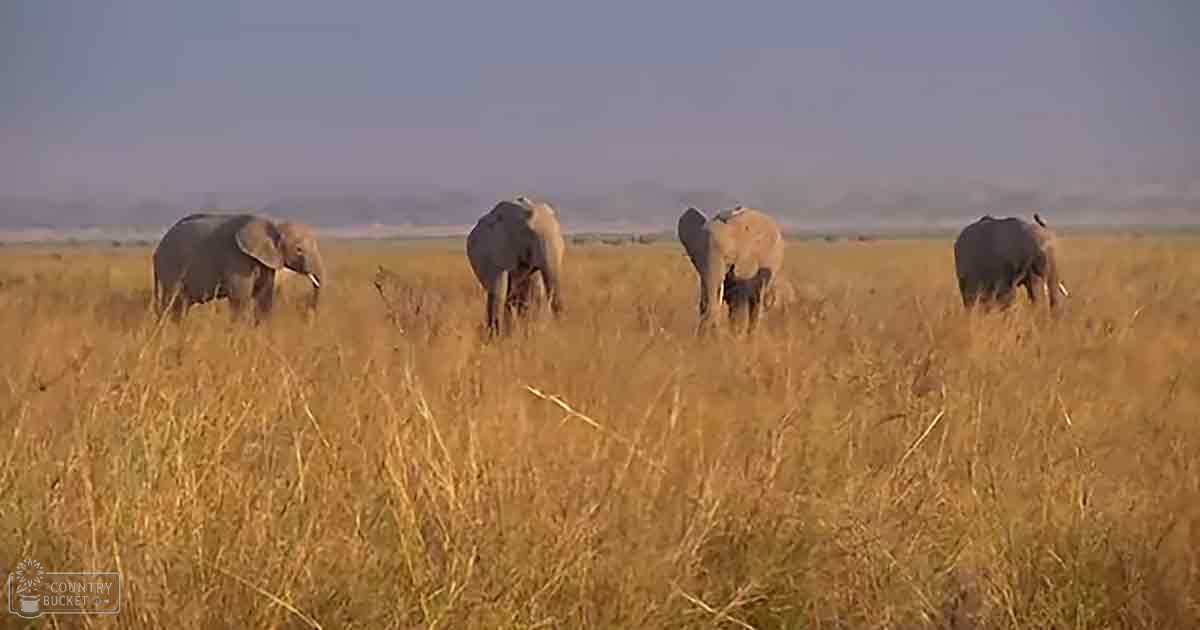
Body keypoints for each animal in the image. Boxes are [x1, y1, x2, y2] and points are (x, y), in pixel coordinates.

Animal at [152, 213, 325, 321]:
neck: (272, 221)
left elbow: (264, 298)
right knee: (174, 303)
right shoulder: (237, 259)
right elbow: (240, 299)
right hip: (170, 265)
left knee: (181, 305)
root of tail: (157, 251)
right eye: (299, 249)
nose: (307, 315)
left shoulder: (265, 260)